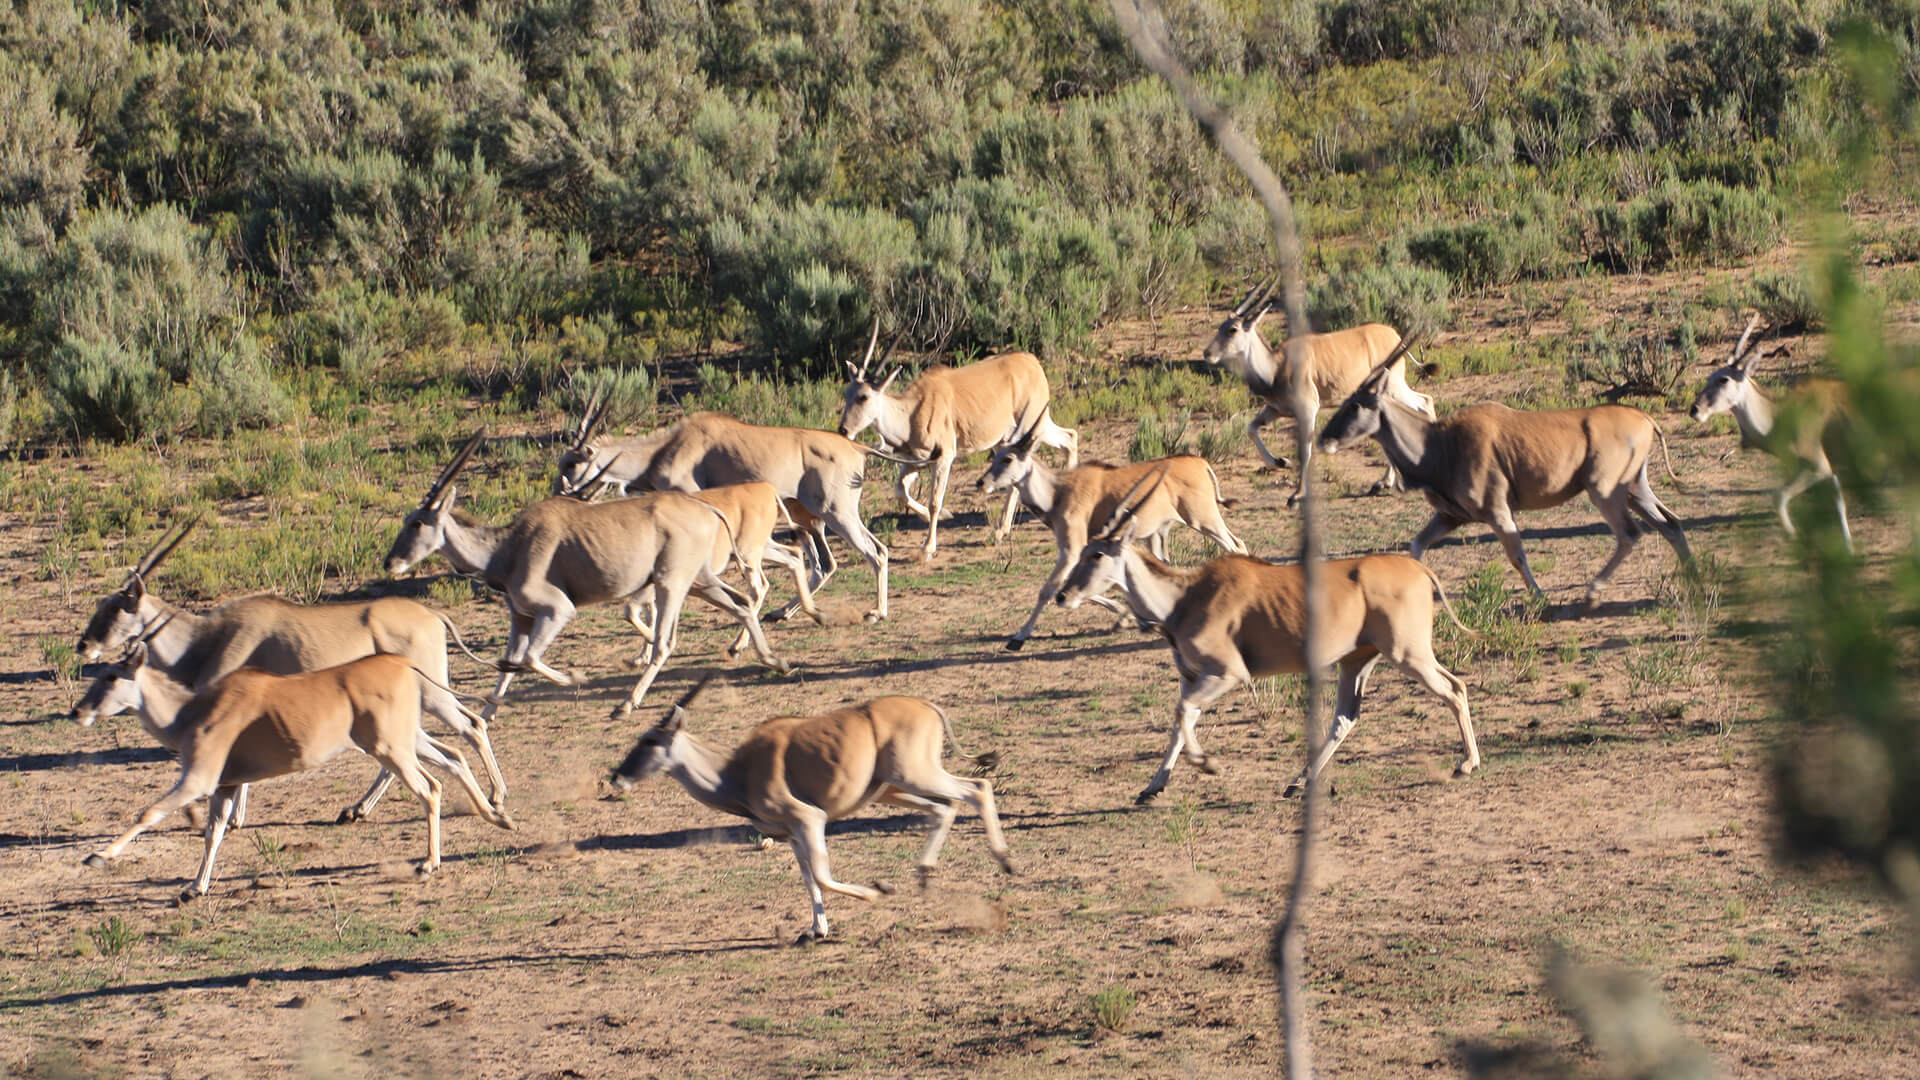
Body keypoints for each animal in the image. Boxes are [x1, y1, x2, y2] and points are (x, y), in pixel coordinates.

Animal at [614, 676, 1013, 937]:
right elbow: (808, 877)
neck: (737, 773)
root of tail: (926, 705)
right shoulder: (791, 833)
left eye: (649, 740)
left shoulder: (810, 818)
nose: (617, 776)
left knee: (976, 788)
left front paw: (877, 892)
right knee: (944, 807)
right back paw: (926, 872)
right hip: (891, 789)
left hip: (914, 774)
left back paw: (1004, 859)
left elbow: (820, 874)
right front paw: (816, 929)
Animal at [840, 317, 1082, 553]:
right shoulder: (915, 461)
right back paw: (1004, 529)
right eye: (847, 393)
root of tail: (1031, 361)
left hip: (1031, 427)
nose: (843, 430)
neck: (912, 410)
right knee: (1067, 439)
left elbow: (934, 501)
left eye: (863, 397)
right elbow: (901, 491)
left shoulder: (944, 458)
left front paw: (928, 548)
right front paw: (946, 515)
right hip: (1009, 438)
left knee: (1061, 443)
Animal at [1059, 468, 1474, 799]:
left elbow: (1182, 711)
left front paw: (1207, 764)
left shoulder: (1228, 673)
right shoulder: (1192, 676)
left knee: (1454, 688)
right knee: (1345, 718)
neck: (1184, 598)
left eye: (1096, 554)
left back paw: (1466, 764)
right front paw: (1152, 786)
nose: (1063, 595)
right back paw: (1298, 782)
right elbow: (1182, 719)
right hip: (1357, 661)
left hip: (1407, 653)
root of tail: (1419, 570)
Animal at [1198, 272, 1443, 499]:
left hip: (1393, 387)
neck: (1275, 367)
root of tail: (1395, 336)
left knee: (1425, 402)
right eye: (1220, 327)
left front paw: (1297, 493)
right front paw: (1281, 461)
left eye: (1232, 330)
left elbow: (1305, 451)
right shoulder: (1276, 410)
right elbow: (1251, 428)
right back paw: (1385, 482)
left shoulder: (1308, 410)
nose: (1207, 353)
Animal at [1320, 340, 1697, 599]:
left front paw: (1540, 596)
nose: (1324, 438)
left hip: (1603, 490)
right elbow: (1416, 547)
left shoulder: (1497, 512)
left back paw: (1592, 592)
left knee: (1630, 534)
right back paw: (1695, 576)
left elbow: (1516, 555)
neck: (1439, 444)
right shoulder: (1450, 517)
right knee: (1672, 524)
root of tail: (1645, 418)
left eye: (1355, 405)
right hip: (1635, 490)